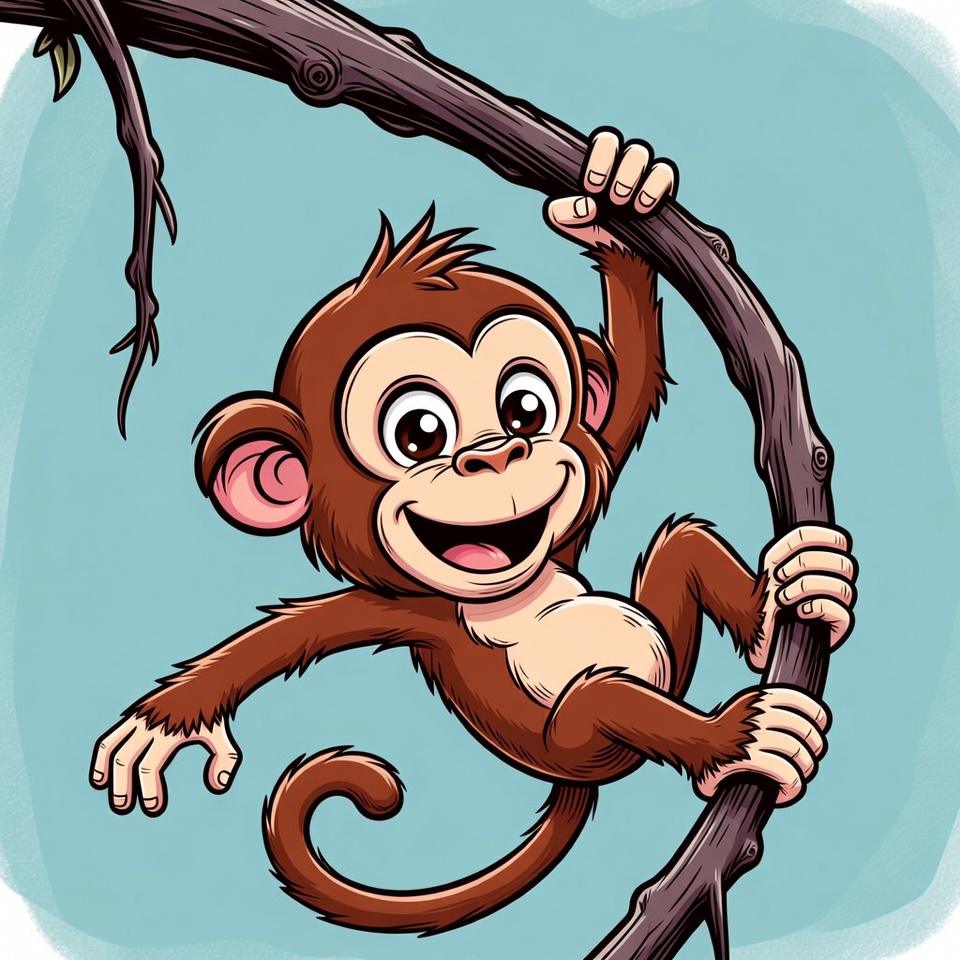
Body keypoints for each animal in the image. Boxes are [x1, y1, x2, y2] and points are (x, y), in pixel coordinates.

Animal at [90, 131, 856, 935]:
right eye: (419, 432)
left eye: (526, 409)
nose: (494, 454)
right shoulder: (409, 610)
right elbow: (292, 635)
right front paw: (165, 724)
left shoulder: (575, 508)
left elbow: (630, 385)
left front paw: (613, 197)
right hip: (576, 742)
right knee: (603, 698)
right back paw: (734, 740)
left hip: (662, 663)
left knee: (682, 547)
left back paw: (788, 605)